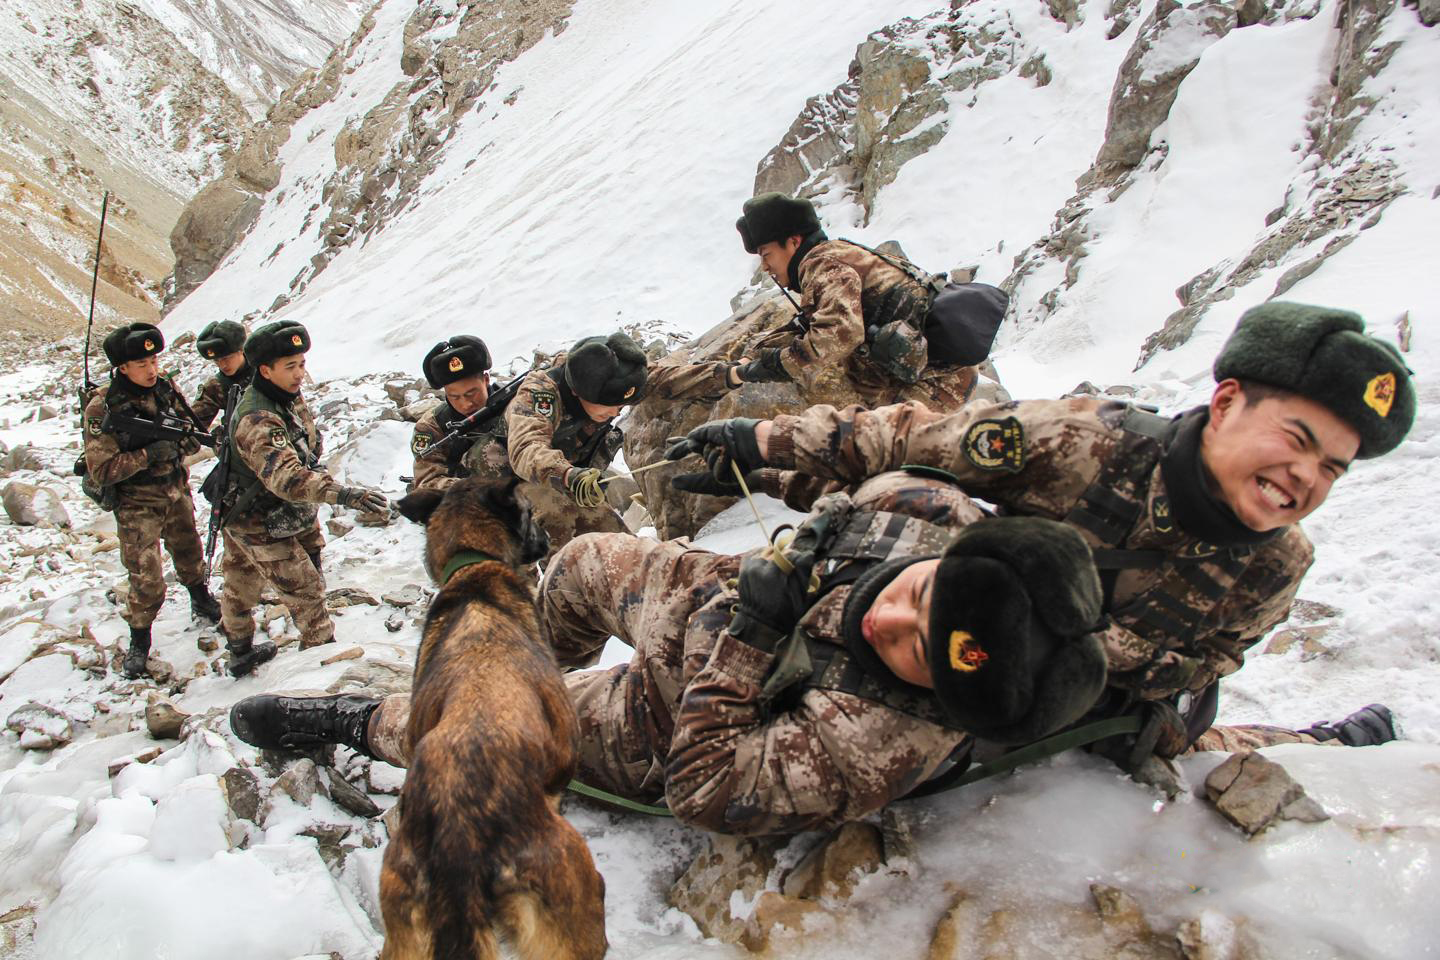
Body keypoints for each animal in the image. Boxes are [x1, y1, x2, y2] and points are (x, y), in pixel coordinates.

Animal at [383, 480, 607, 960]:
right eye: (530, 513)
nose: (547, 539)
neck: (473, 567)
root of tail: (458, 833)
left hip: (403, 922)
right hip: (570, 905)